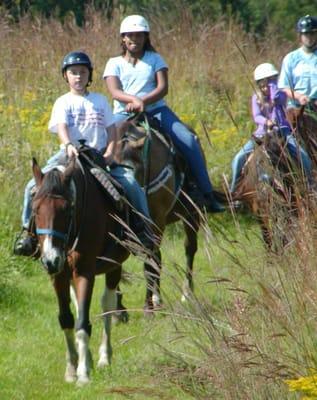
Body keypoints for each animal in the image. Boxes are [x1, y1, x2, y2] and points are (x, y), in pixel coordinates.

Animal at [31, 155, 130, 382]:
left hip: (114, 265)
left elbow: (83, 323)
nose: (50, 260)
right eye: (35, 209)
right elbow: (67, 319)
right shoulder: (58, 276)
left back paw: (104, 357)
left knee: (107, 304)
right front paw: (71, 369)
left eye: (67, 209)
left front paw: (83, 373)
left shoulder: (85, 271)